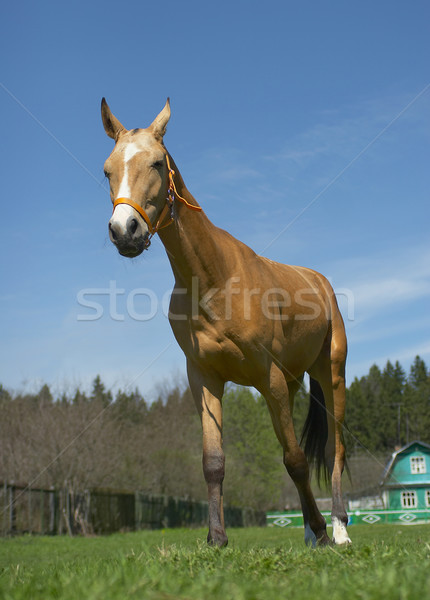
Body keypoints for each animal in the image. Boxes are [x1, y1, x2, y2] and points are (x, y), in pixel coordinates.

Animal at [102, 98, 352, 548]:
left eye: (157, 163)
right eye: (107, 170)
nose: (124, 230)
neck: (214, 278)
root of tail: (320, 282)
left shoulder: (268, 377)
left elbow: (295, 458)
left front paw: (323, 529)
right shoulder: (205, 379)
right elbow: (213, 460)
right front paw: (217, 538)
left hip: (331, 375)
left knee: (334, 450)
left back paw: (338, 527)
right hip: (293, 384)